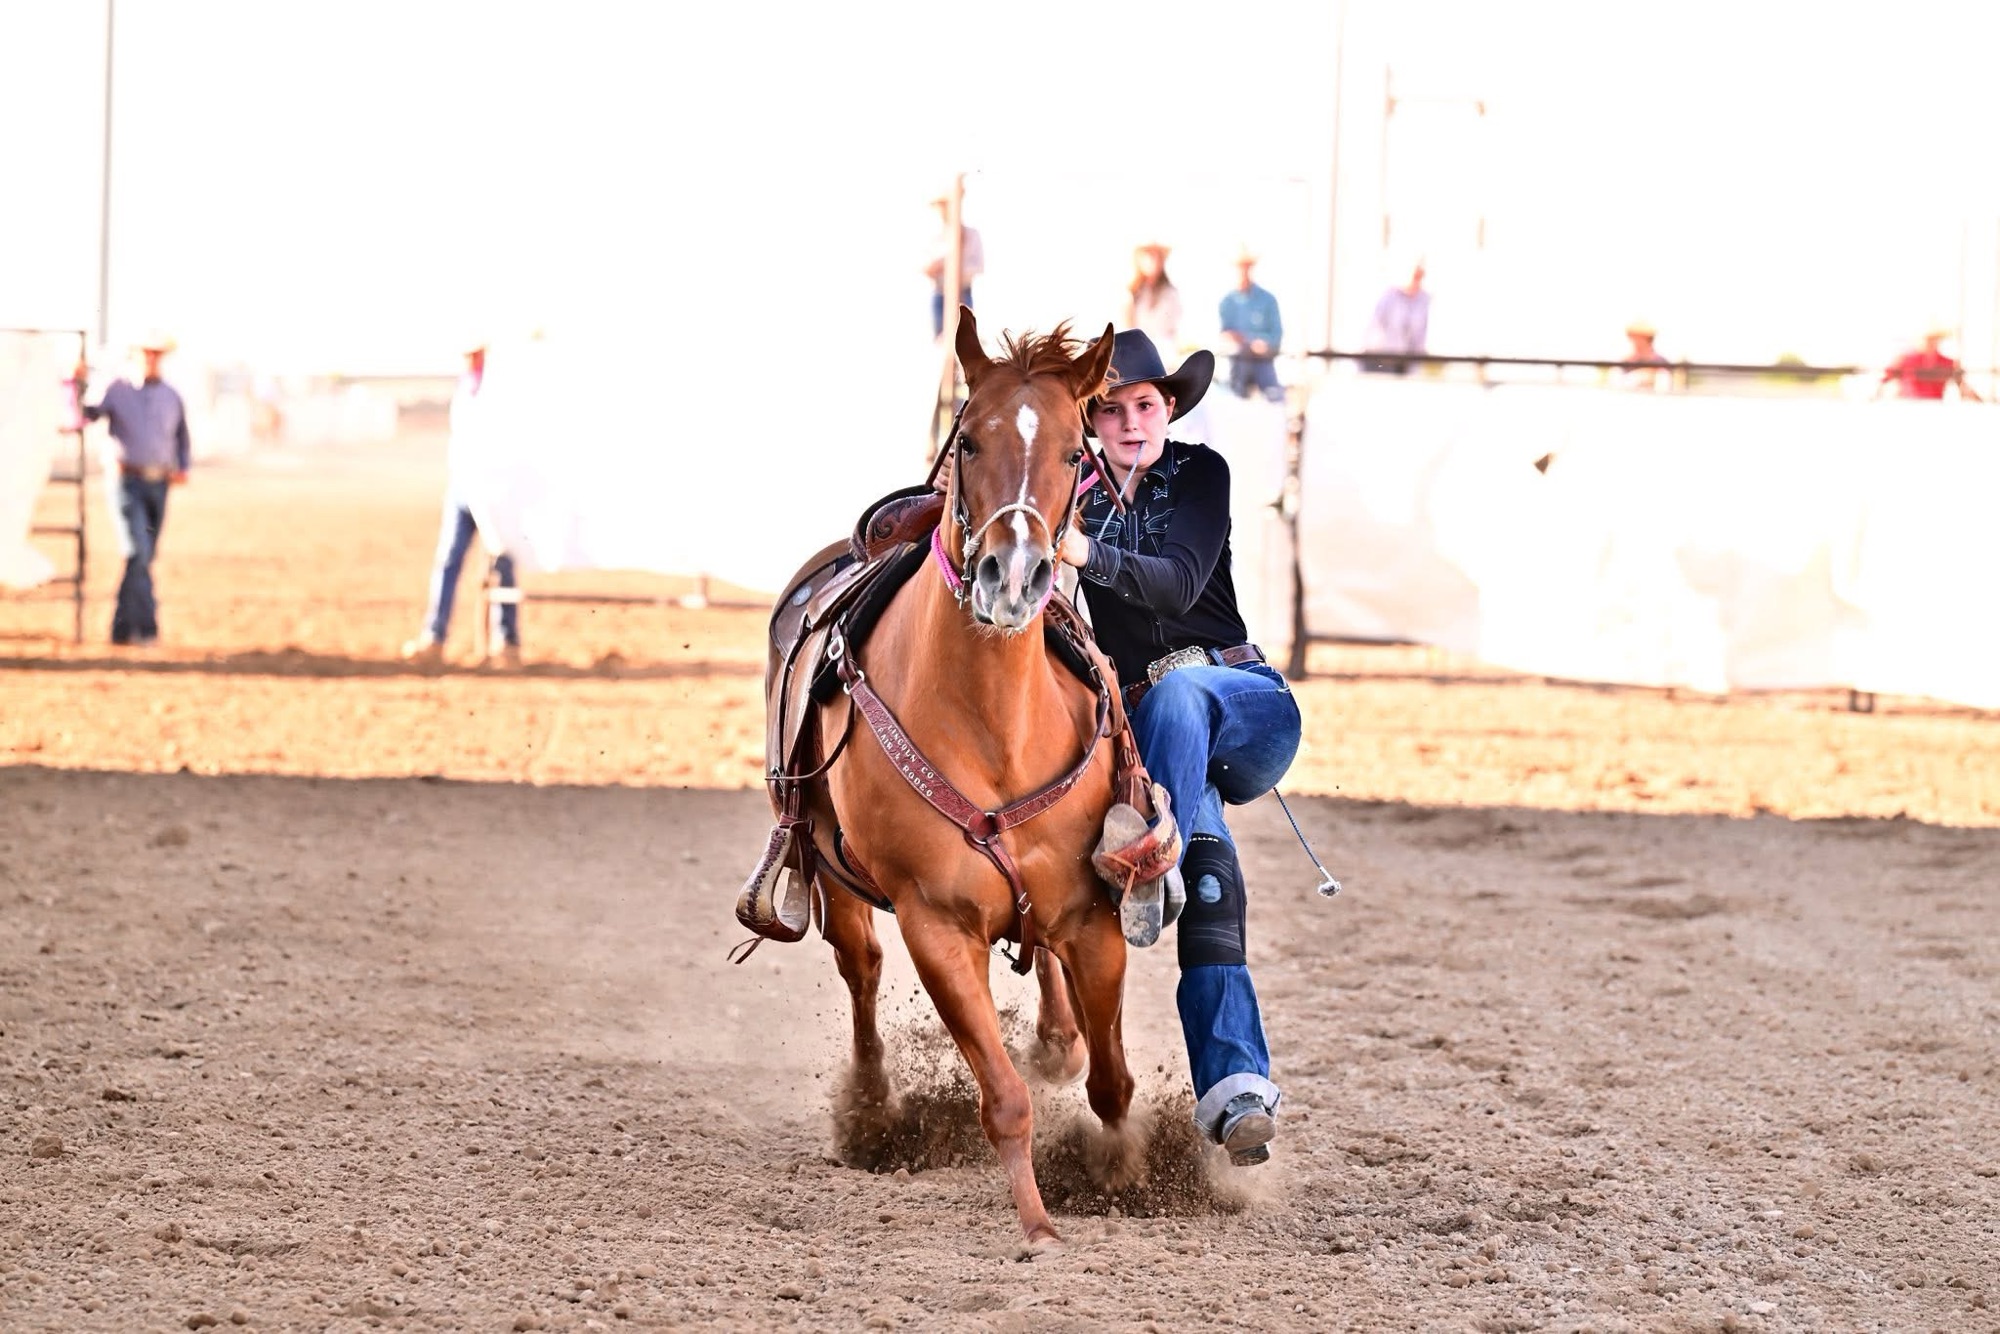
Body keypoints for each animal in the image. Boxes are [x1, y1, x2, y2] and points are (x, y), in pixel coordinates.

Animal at [800, 311, 1144, 1243]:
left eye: (1072, 452)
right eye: (970, 441)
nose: (1014, 576)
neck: (998, 730)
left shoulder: (1093, 915)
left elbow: (1112, 1080)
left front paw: (1124, 1177)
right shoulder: (939, 925)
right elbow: (1005, 1100)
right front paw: (1039, 1227)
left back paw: (1057, 1037)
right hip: (835, 878)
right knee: (861, 971)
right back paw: (873, 1112)